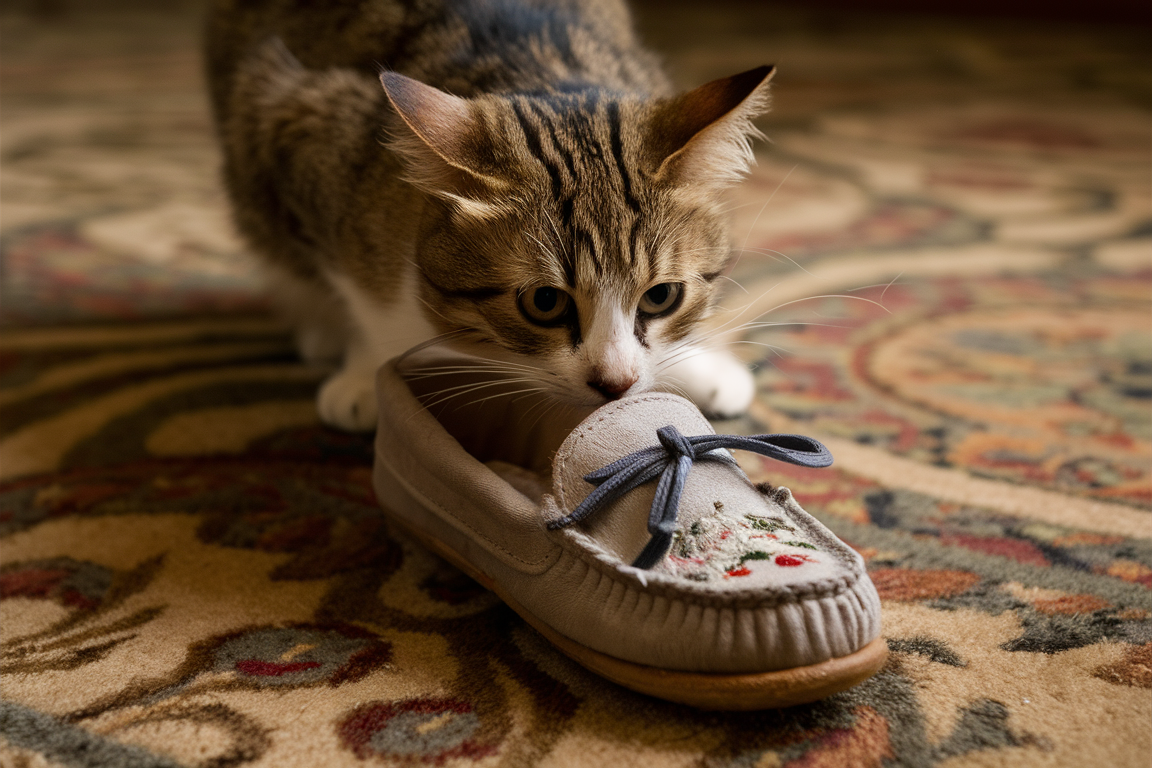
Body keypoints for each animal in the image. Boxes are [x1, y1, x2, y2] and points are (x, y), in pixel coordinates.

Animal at [205, 0, 774, 432]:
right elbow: (360, 297)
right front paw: (365, 370)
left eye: (661, 296)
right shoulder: (300, 131)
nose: (616, 384)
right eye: (544, 302)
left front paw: (698, 367)